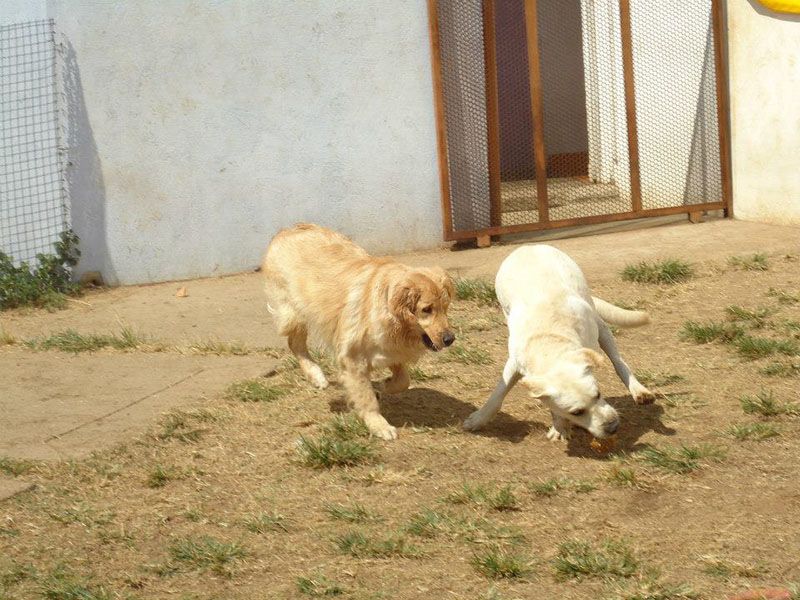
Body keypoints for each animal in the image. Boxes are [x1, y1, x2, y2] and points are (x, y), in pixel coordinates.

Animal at [262, 223, 455, 440]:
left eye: (445, 307)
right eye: (426, 309)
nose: (450, 339)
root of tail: (289, 229)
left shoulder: (391, 351)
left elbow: (403, 380)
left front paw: (385, 385)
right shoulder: (352, 358)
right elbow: (366, 397)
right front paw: (379, 425)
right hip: (293, 313)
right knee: (294, 343)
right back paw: (316, 374)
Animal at [463, 244, 654, 442]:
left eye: (598, 394)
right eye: (576, 412)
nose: (613, 427)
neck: (550, 343)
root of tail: (529, 246)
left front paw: (560, 426)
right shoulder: (515, 362)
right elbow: (499, 394)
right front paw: (479, 419)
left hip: (600, 326)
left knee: (618, 361)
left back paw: (638, 390)